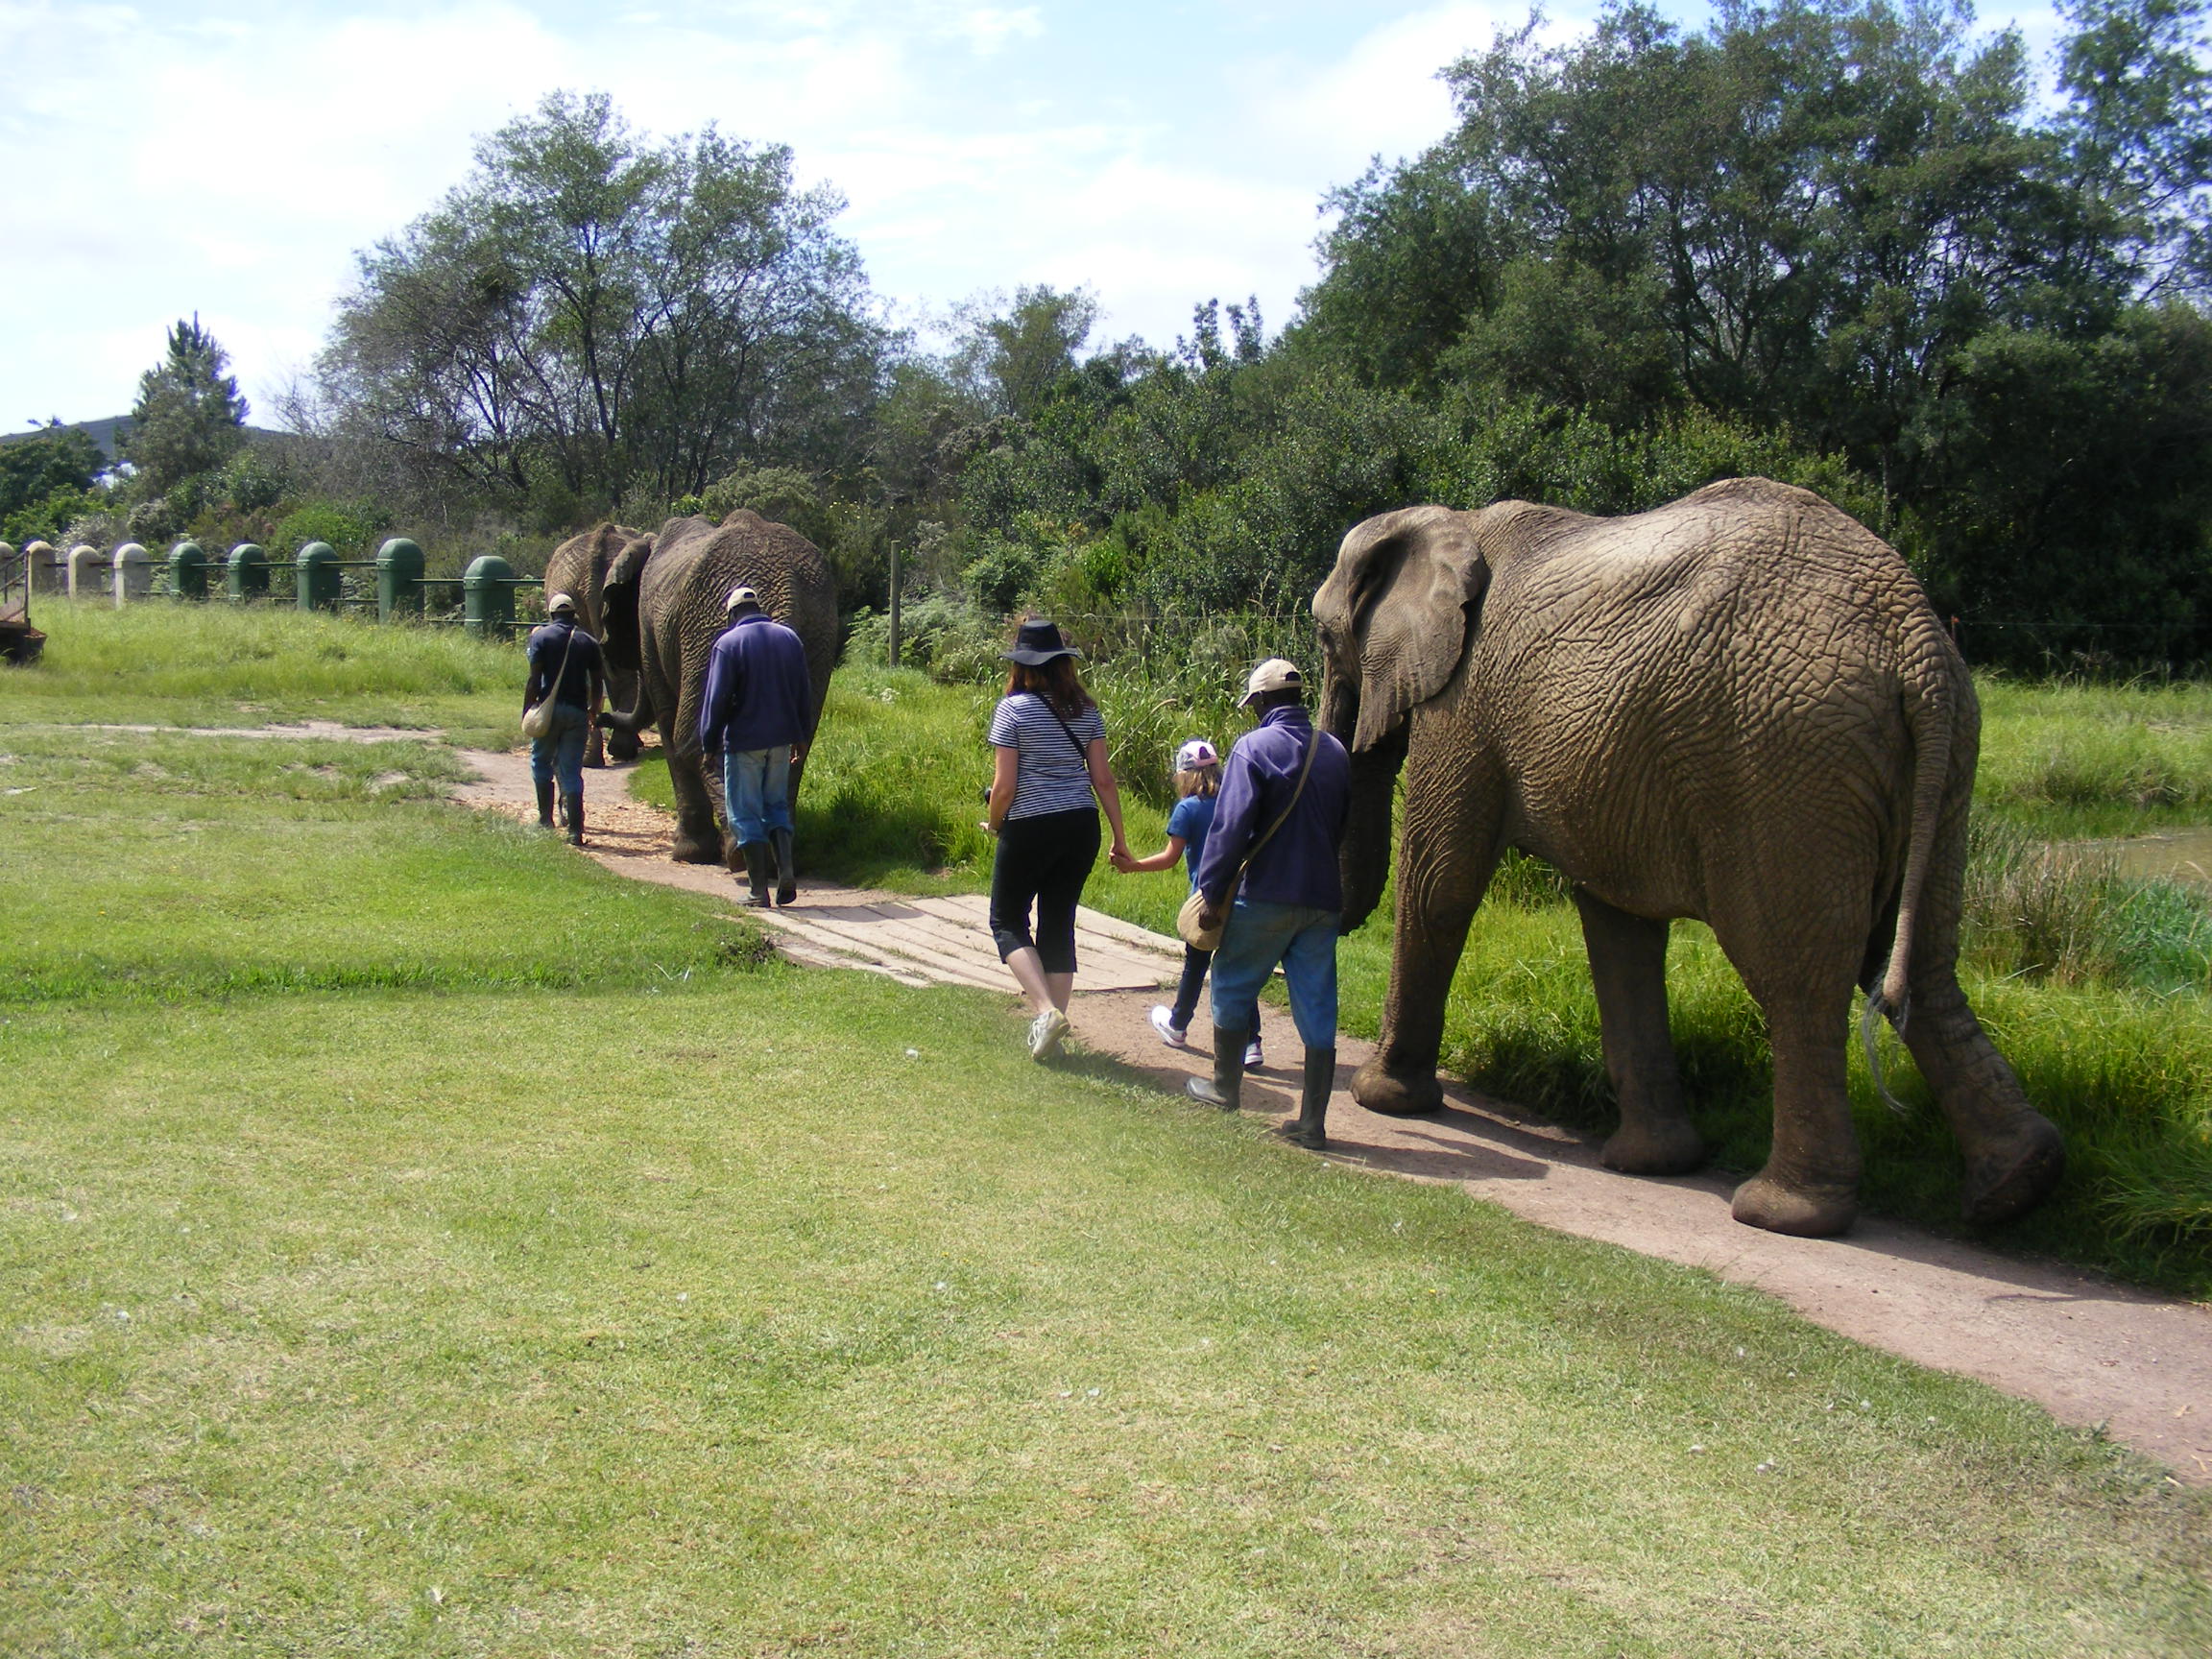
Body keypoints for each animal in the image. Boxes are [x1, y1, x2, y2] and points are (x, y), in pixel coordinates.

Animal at [606, 511, 835, 871]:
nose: (602, 718)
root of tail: (783, 588)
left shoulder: (650, 629)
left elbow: (670, 727)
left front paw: (688, 855)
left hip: (707, 630)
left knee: (697, 735)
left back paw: (741, 854)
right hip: (815, 635)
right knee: (797, 744)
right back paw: (772, 857)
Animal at [1300, 477, 2061, 1238]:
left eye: (1324, 636)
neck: (1452, 522)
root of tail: (1916, 641)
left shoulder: (1465, 705)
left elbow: (1440, 882)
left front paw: (1382, 1099)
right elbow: (1617, 923)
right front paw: (1656, 1163)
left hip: (1784, 763)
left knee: (1796, 976)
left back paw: (1782, 1212)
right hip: (1942, 762)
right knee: (1919, 962)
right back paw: (2015, 1185)